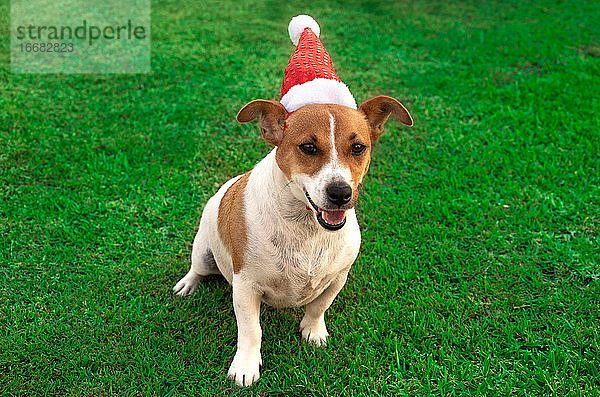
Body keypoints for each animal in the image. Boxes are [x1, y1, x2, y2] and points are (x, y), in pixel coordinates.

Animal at [171, 14, 410, 384]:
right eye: (308, 147)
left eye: (359, 147)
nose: (340, 193)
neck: (306, 228)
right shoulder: (245, 288)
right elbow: (251, 330)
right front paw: (245, 366)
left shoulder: (337, 278)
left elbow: (318, 306)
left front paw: (313, 331)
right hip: (204, 250)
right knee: (198, 268)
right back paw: (188, 284)